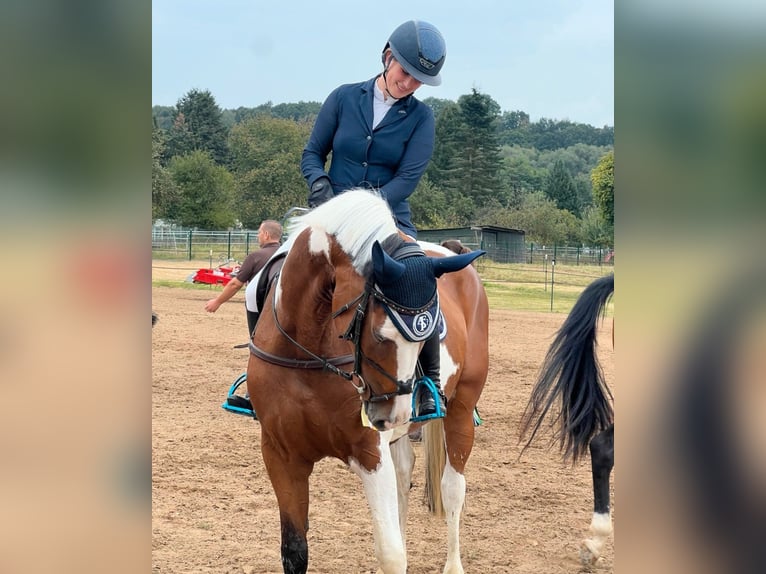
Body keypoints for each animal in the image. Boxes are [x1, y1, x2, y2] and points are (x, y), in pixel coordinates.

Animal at [248, 190, 492, 574]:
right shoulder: (280, 454)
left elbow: (391, 554)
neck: (306, 349)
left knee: (453, 488)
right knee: (405, 476)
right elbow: (294, 550)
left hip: (461, 411)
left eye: (426, 336)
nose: (390, 415)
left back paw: (454, 565)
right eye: (379, 335)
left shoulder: (369, 454)